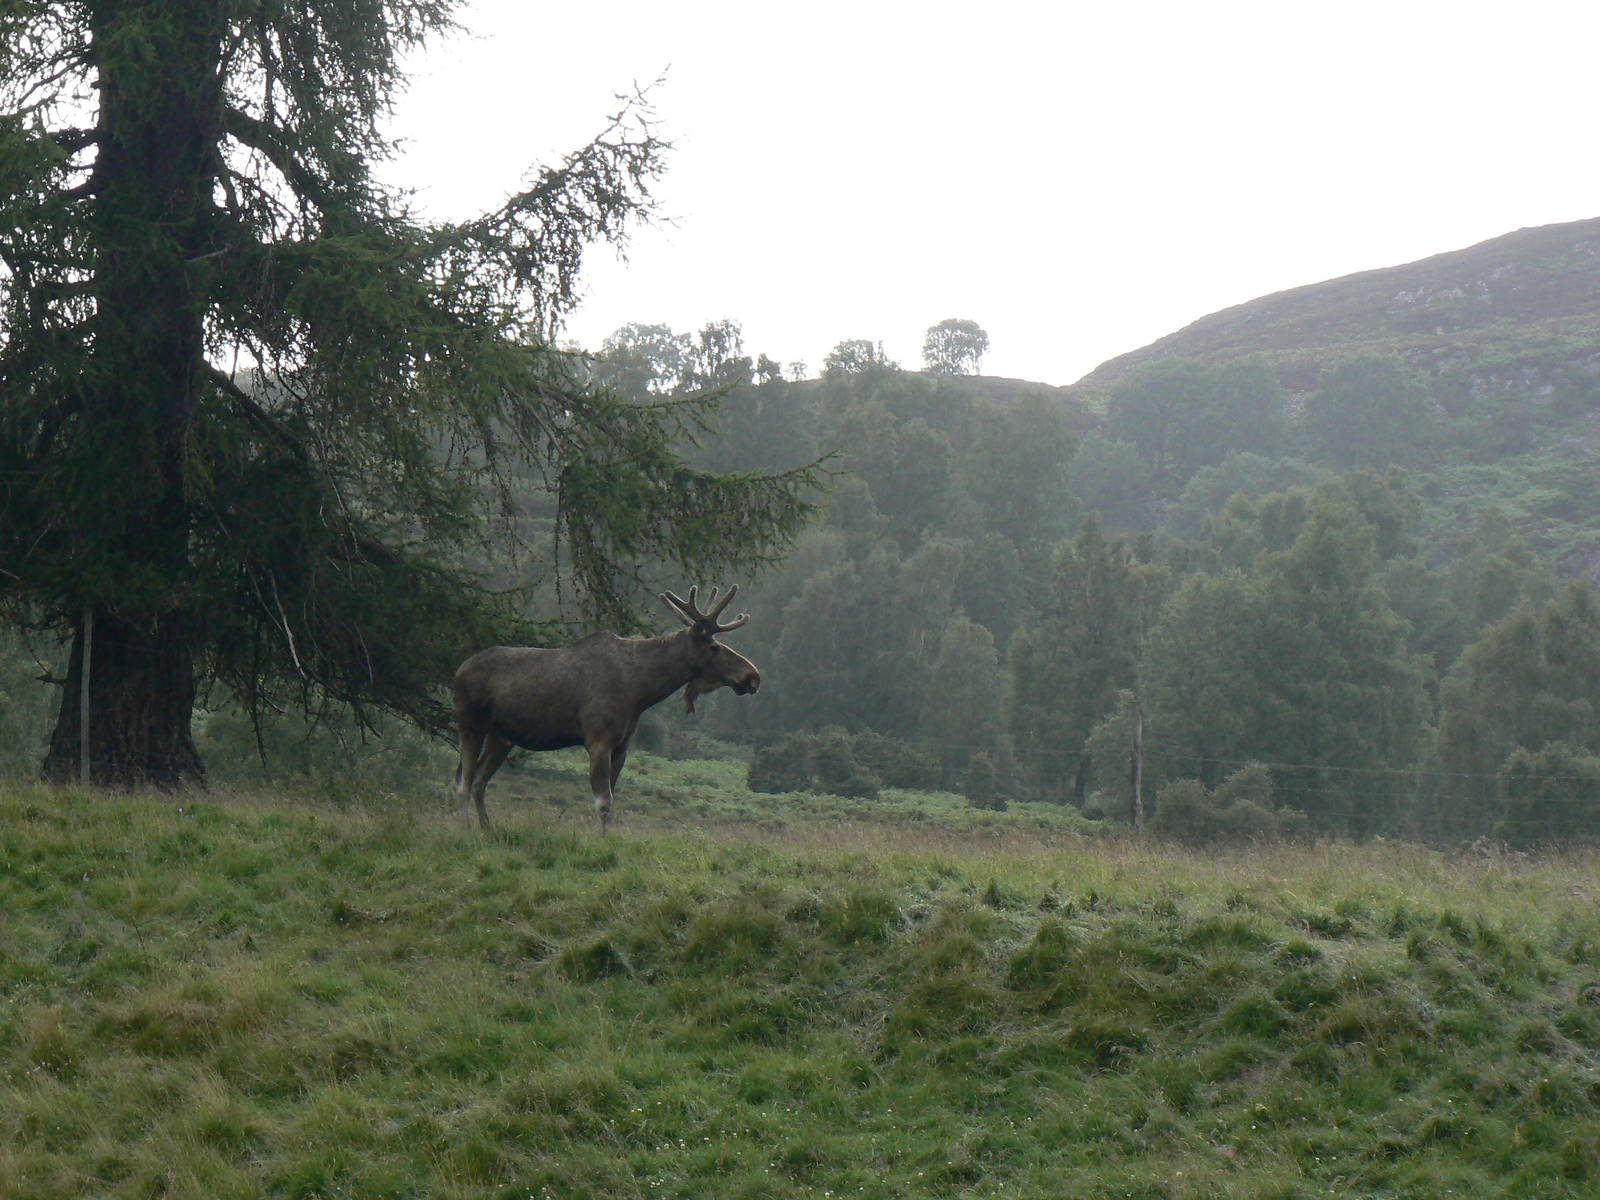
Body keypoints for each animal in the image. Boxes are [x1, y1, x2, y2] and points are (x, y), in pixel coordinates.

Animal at [452, 585, 761, 832]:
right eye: (714, 647)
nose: (753, 676)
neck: (641, 690)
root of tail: (458, 670)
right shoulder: (598, 741)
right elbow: (603, 802)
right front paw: (603, 841)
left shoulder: (622, 746)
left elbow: (612, 799)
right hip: (470, 724)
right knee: (463, 781)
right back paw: (466, 831)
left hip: (501, 737)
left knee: (479, 782)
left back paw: (487, 830)